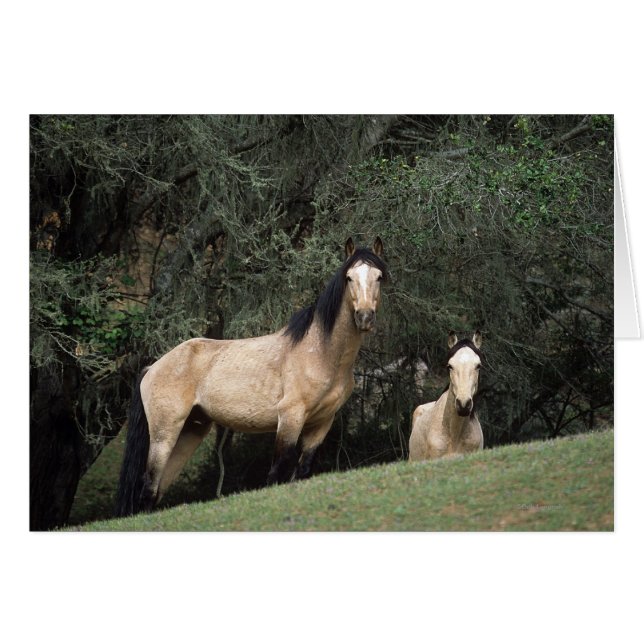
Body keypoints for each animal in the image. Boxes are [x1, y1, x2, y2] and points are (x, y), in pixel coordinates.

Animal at [116, 237, 388, 516]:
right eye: (349, 277)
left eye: (378, 276)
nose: (364, 317)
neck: (321, 353)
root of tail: (153, 367)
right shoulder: (290, 418)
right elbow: (276, 474)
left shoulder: (321, 424)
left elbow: (301, 472)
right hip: (164, 433)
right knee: (149, 487)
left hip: (189, 432)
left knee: (157, 489)